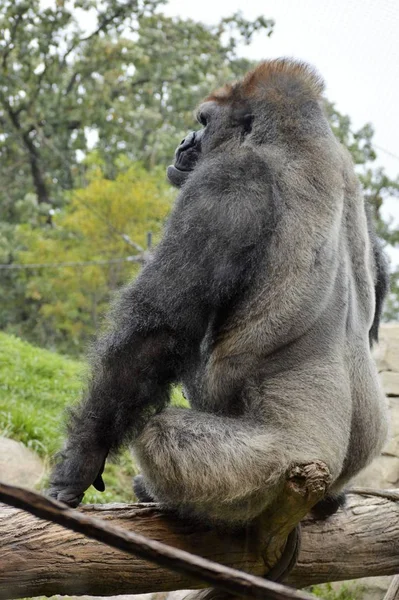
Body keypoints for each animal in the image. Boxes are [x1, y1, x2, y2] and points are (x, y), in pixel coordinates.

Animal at [48, 58, 390, 528]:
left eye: (204, 122)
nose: (184, 141)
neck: (298, 138)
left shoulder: (228, 180)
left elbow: (156, 335)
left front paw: (82, 457)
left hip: (279, 467)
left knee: (162, 434)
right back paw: (333, 503)